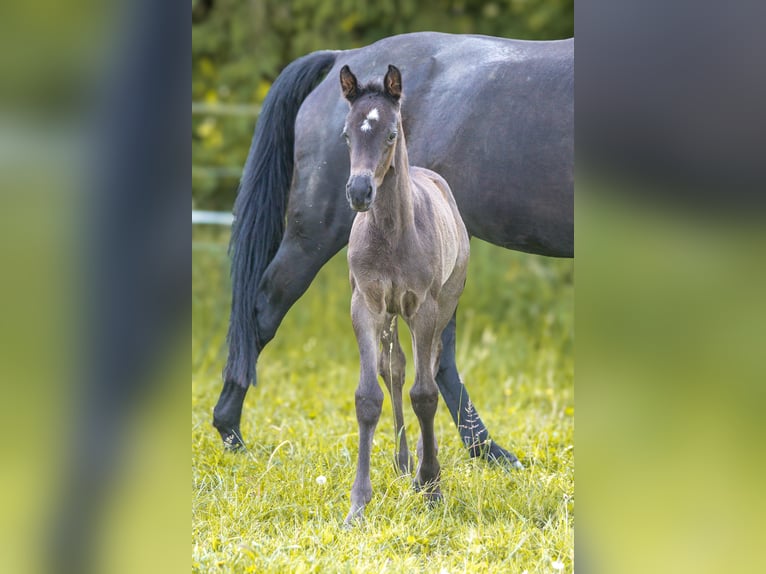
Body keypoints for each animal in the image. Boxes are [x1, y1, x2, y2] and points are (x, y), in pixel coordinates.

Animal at [214, 32, 573, 467]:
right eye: (349, 136)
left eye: (391, 135)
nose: (360, 191)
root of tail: (342, 56)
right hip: (313, 235)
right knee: (262, 310)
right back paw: (230, 429)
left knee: (437, 357)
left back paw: (483, 450)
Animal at [340, 64, 470, 522]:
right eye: (346, 134)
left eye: (391, 133)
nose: (360, 192)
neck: (393, 235)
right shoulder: (366, 305)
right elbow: (368, 395)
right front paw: (358, 505)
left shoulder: (424, 308)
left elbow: (426, 394)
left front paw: (430, 485)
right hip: (390, 314)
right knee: (393, 368)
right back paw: (401, 461)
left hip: (444, 303)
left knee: (427, 367)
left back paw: (420, 464)